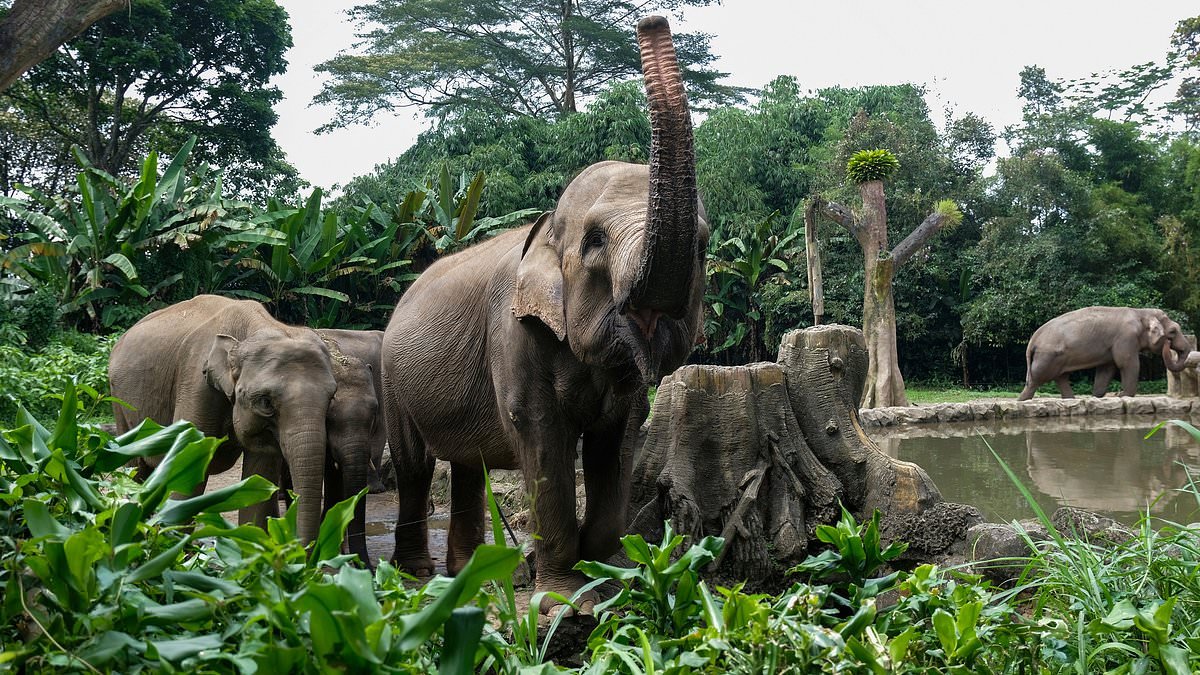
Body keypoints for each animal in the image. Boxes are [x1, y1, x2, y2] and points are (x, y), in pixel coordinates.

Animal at [109, 294, 338, 545]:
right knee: (134, 467)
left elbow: (260, 476)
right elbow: (188, 465)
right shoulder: (196, 385)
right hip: (119, 402)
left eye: (331, 398)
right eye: (265, 402)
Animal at [381, 15, 706, 612]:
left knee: (467, 467)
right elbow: (541, 435)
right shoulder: (513, 332)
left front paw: (608, 577)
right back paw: (418, 577)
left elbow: (616, 440)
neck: (548, 224)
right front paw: (560, 599)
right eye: (595, 242)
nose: (651, 21)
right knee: (416, 466)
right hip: (392, 379)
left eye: (701, 245)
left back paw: (471, 576)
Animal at [1018, 306, 1191, 400]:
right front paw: (1124, 396)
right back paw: (1022, 401)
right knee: (1035, 381)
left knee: (1061, 378)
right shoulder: (1126, 338)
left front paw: (1097, 396)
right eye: (1173, 331)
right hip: (1047, 356)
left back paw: (1071, 399)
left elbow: (1106, 369)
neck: (1140, 312)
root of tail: (1033, 340)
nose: (1168, 344)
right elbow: (1127, 363)